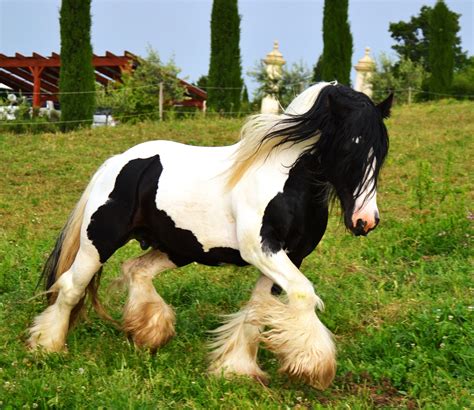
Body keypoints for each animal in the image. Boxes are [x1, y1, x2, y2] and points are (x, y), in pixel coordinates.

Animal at [27, 81, 394, 390]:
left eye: (381, 150)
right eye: (349, 147)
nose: (365, 221)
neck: (287, 181)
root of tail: (117, 162)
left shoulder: (289, 256)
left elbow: (258, 310)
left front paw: (236, 368)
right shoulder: (262, 250)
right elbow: (303, 294)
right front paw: (313, 365)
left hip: (177, 249)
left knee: (136, 270)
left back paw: (149, 333)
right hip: (98, 244)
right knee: (71, 287)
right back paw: (47, 346)